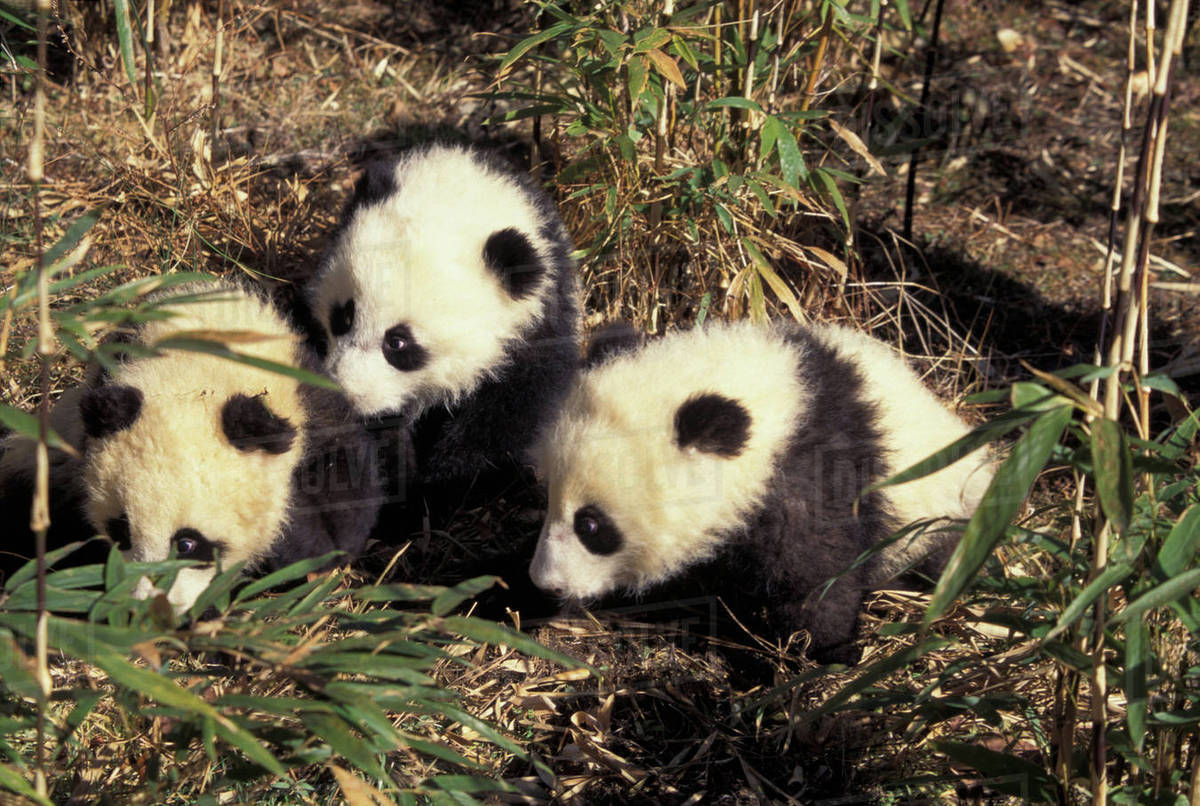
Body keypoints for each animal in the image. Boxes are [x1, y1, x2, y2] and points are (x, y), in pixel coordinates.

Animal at [306, 142, 580, 511]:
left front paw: (440, 489)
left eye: (398, 343)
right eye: (344, 317)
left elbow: (509, 415)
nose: (344, 391)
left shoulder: (537, 327)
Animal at [528, 319, 994, 662]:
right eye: (546, 496)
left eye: (591, 525)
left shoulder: (815, 472)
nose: (544, 582)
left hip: (943, 507)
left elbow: (819, 576)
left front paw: (824, 656)